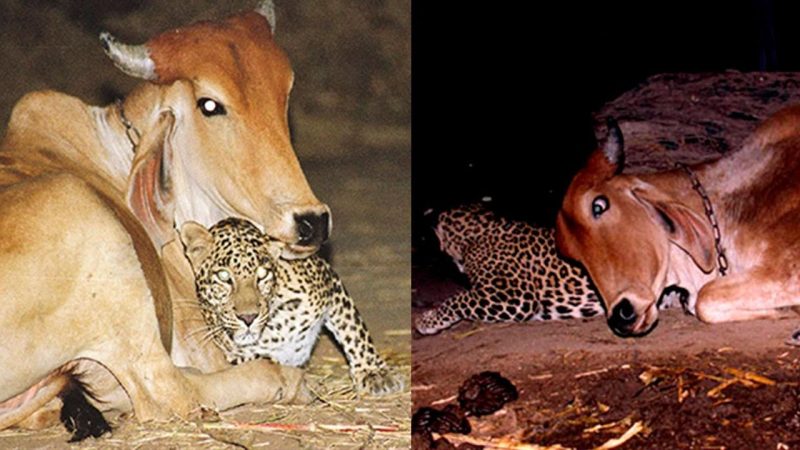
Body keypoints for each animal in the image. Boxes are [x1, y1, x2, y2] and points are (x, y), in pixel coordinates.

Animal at [182, 218, 406, 398]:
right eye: (223, 276)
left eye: (262, 274)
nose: (248, 318)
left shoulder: (330, 281)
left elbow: (354, 331)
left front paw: (375, 373)